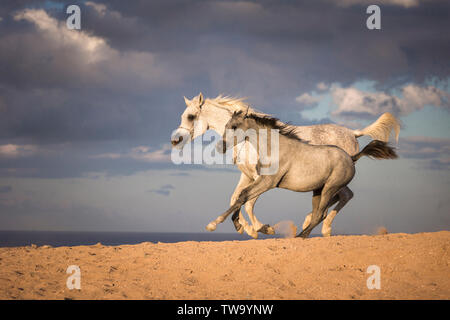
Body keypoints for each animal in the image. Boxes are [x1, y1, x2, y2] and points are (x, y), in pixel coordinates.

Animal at [172, 92, 400, 238]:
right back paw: (312, 224)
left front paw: (260, 229)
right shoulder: (247, 175)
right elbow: (236, 198)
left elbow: (248, 202)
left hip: (333, 182)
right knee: (340, 197)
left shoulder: (259, 178)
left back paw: (320, 227)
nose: (175, 140)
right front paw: (242, 227)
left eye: (191, 116)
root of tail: (353, 133)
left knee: (342, 197)